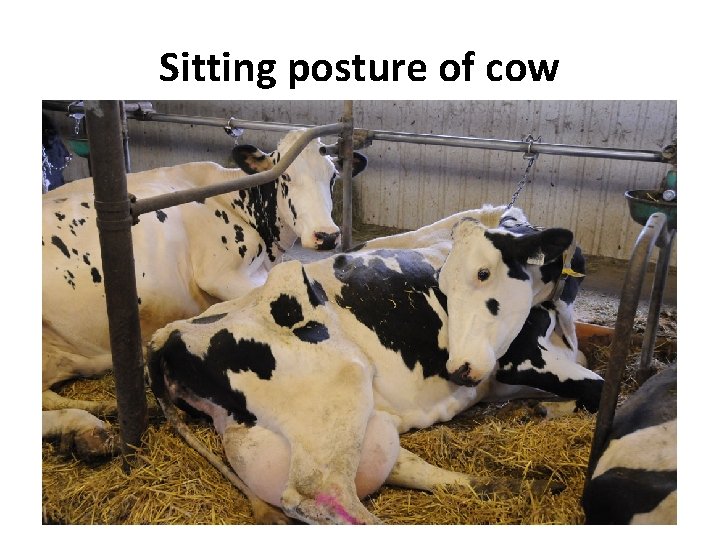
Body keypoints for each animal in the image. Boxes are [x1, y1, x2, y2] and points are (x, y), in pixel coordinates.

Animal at [147, 205, 603, 524]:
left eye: (482, 272)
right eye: (453, 282)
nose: (459, 369)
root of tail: (168, 334)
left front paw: (544, 409)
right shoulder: (517, 358)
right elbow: (595, 387)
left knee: (400, 465)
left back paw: (516, 484)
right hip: (342, 386)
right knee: (320, 496)